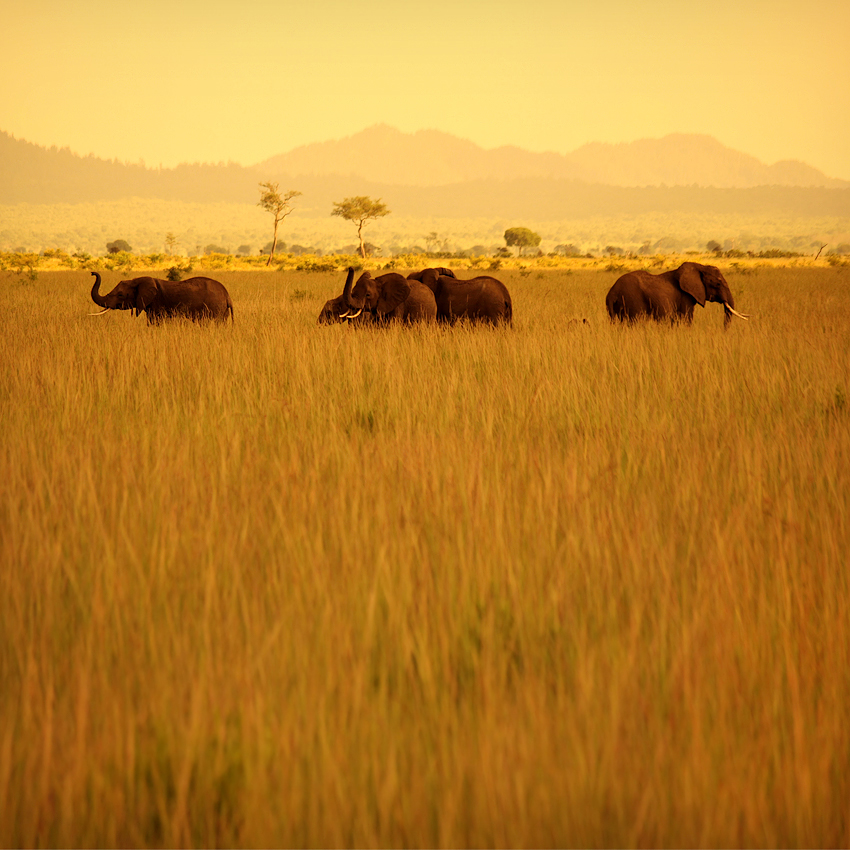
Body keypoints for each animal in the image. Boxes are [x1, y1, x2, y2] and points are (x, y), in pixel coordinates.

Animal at [90, 274, 234, 322]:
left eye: (120, 295)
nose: (92, 273)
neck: (138, 280)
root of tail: (227, 295)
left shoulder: (157, 305)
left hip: (215, 307)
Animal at [604, 260, 748, 326]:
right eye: (718, 284)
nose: (723, 331)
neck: (699, 266)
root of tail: (612, 291)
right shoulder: (685, 296)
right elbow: (687, 319)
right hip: (633, 300)